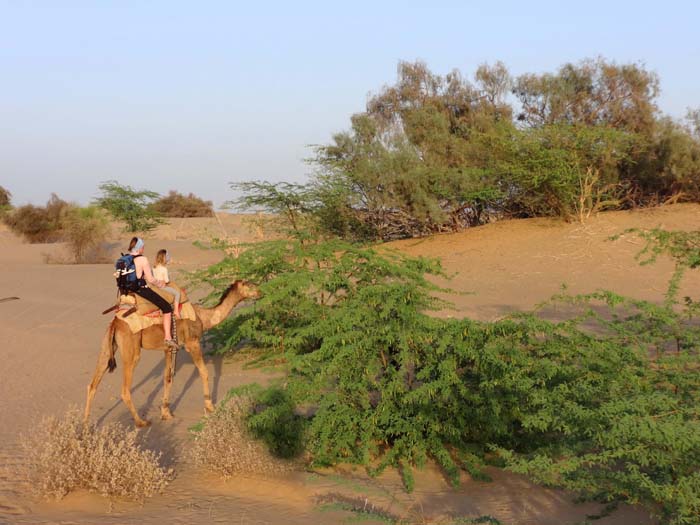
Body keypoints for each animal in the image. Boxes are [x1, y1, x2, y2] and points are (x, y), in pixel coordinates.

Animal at [85, 278, 258, 426]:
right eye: (249, 284)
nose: (260, 292)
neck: (203, 317)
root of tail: (116, 322)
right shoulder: (192, 343)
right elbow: (204, 372)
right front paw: (210, 407)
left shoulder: (169, 348)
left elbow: (168, 378)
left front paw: (166, 413)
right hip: (131, 348)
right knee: (125, 389)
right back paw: (141, 422)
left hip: (107, 346)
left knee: (93, 383)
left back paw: (85, 425)